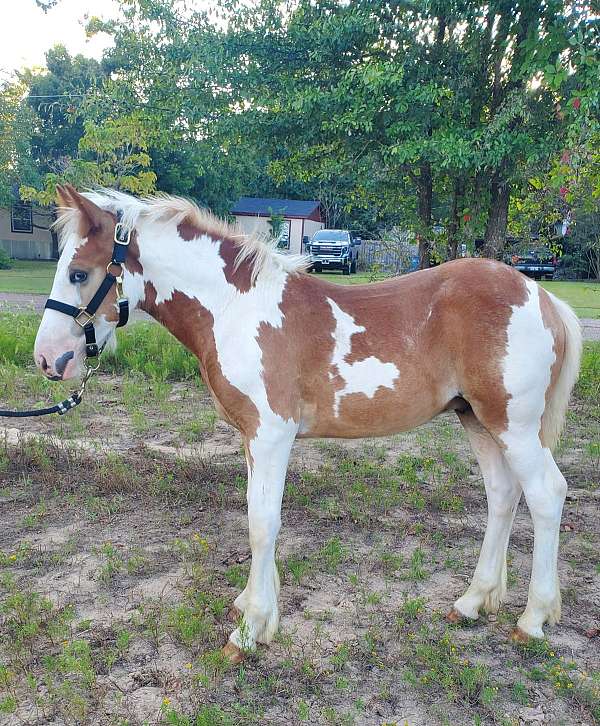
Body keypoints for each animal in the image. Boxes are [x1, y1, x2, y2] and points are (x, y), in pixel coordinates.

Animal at [34, 185, 580, 664]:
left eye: (79, 274)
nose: (48, 359)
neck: (236, 309)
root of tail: (542, 296)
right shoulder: (252, 438)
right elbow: (254, 514)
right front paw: (252, 606)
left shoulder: (272, 435)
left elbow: (263, 523)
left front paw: (249, 631)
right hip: (478, 421)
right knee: (503, 497)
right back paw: (471, 602)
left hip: (513, 426)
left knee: (547, 494)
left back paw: (533, 619)